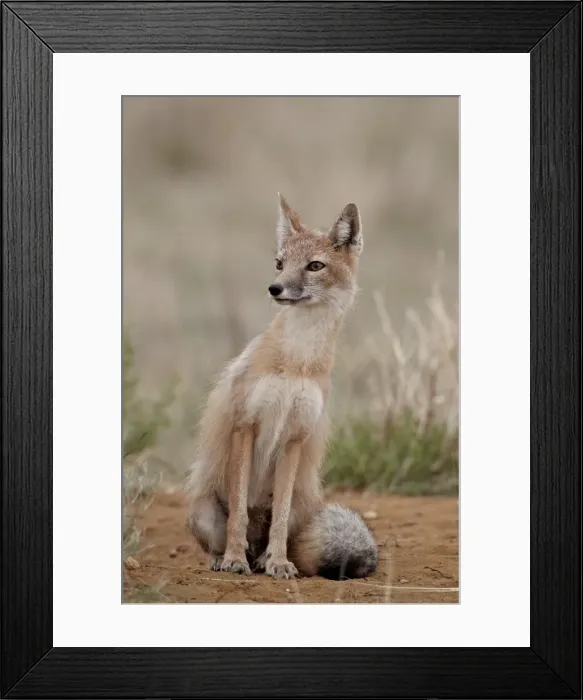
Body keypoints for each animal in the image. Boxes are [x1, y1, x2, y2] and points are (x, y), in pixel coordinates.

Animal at [186, 194, 378, 580]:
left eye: (314, 266)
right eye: (279, 264)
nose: (274, 288)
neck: (297, 361)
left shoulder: (294, 438)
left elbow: (280, 518)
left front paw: (278, 562)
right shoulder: (245, 425)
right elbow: (239, 514)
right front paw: (234, 559)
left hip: (303, 505)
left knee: (278, 529)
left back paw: (263, 560)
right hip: (203, 509)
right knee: (225, 538)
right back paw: (226, 558)